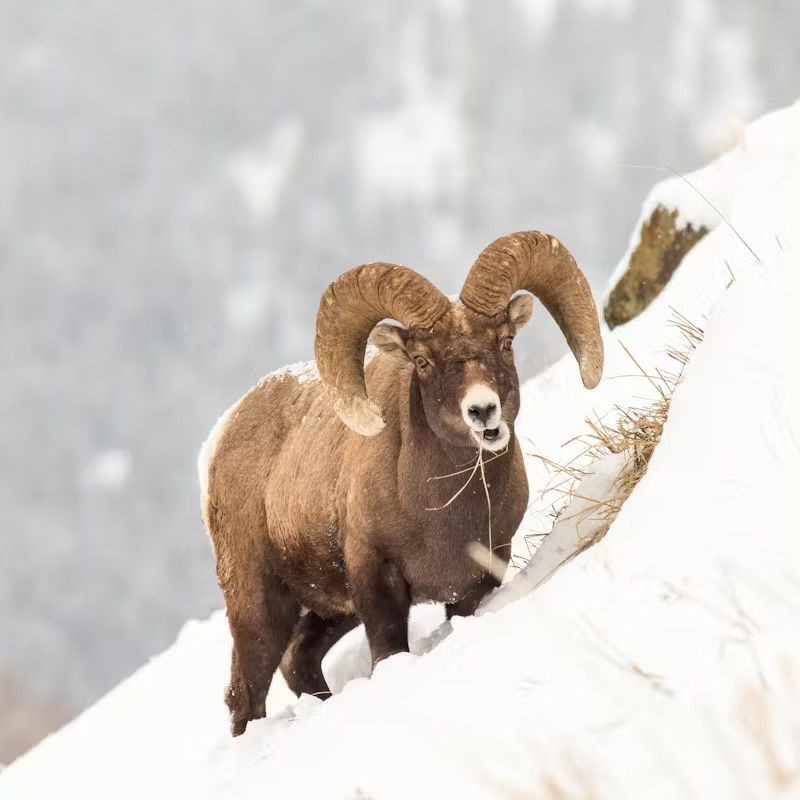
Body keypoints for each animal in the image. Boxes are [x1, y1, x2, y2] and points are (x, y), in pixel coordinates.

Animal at [199, 231, 604, 735]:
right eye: (423, 360)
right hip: (259, 607)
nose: (483, 411)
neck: (441, 510)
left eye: (506, 341)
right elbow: (388, 652)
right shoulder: (377, 582)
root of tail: (219, 440)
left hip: (331, 612)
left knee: (297, 663)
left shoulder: (476, 581)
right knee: (246, 695)